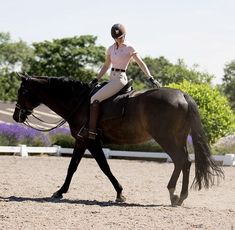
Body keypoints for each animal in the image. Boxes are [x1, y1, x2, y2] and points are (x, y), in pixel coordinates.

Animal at [12, 74, 224, 206]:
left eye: (22, 92)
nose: (16, 116)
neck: (80, 102)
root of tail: (182, 94)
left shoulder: (91, 142)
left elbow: (104, 167)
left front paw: (120, 193)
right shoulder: (81, 141)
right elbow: (72, 167)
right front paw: (60, 191)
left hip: (167, 139)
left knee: (180, 161)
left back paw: (173, 193)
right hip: (177, 139)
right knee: (185, 163)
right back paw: (180, 196)